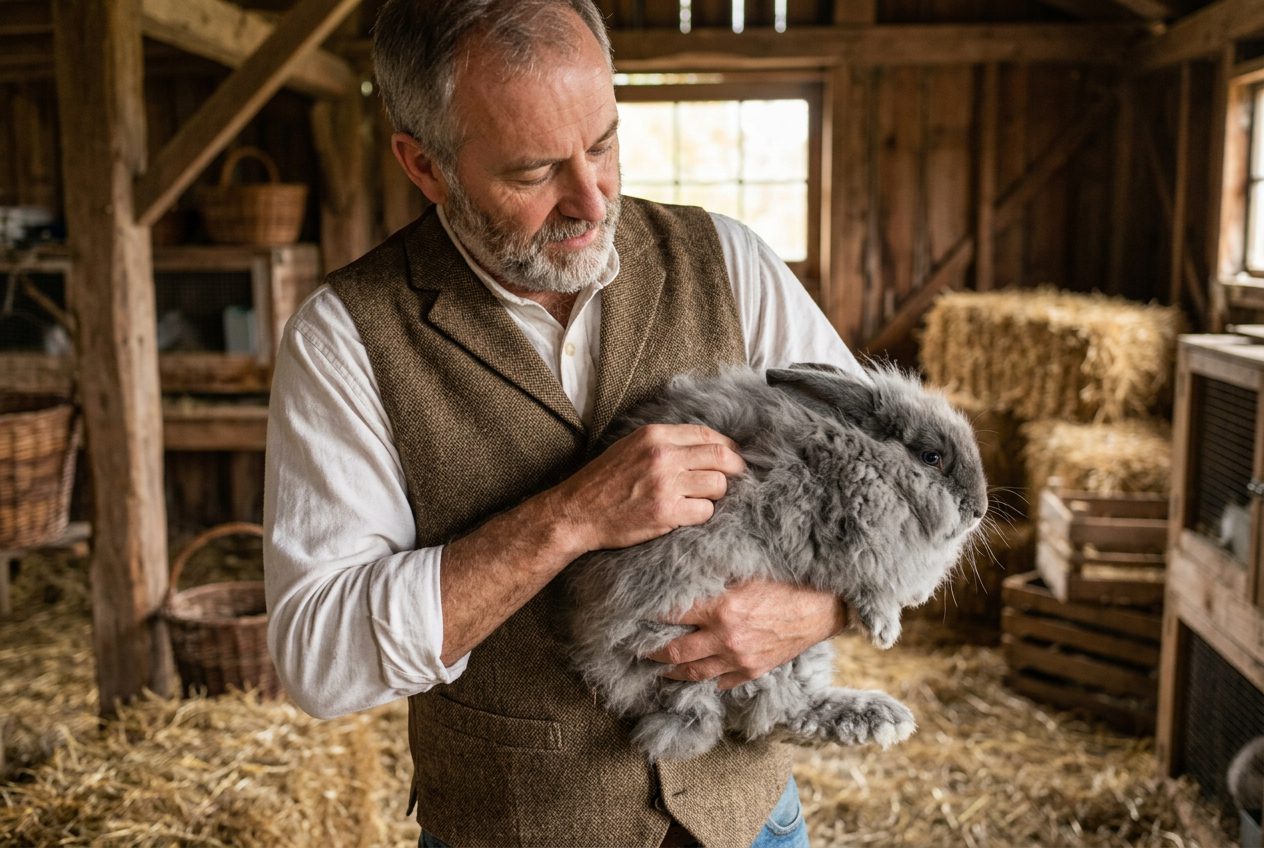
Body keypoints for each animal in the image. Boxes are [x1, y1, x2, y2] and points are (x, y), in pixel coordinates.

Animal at [565, 362, 988, 762]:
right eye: (931, 457)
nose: (979, 510)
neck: (870, 463)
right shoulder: (833, 539)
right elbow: (866, 581)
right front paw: (885, 629)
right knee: (772, 710)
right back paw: (882, 719)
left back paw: (881, 718)